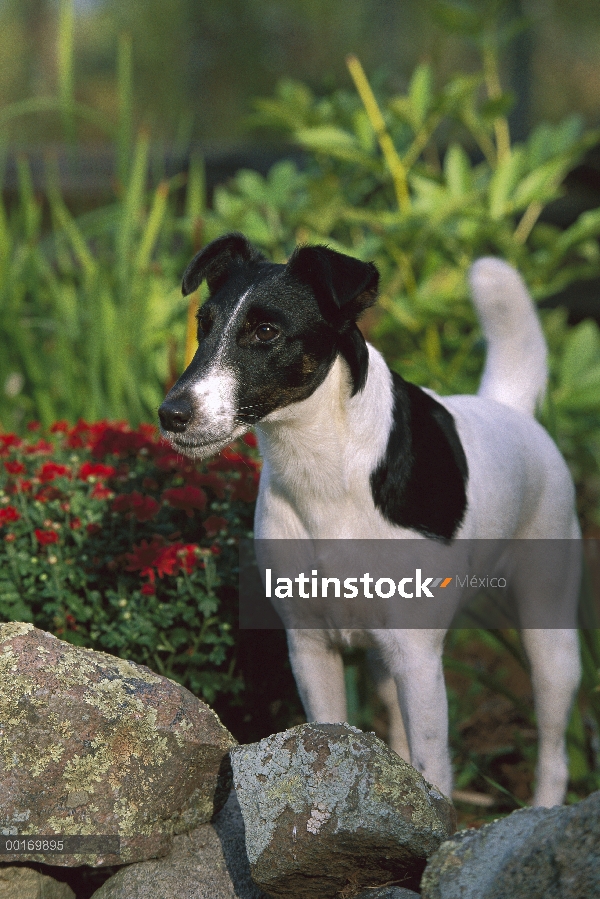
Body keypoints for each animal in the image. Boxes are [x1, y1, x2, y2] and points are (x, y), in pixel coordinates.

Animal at [159, 234, 580, 808]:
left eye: (266, 331)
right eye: (203, 326)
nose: (171, 414)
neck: (327, 477)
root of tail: (511, 410)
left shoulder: (418, 655)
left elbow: (434, 767)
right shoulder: (310, 646)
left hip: (549, 632)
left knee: (554, 750)